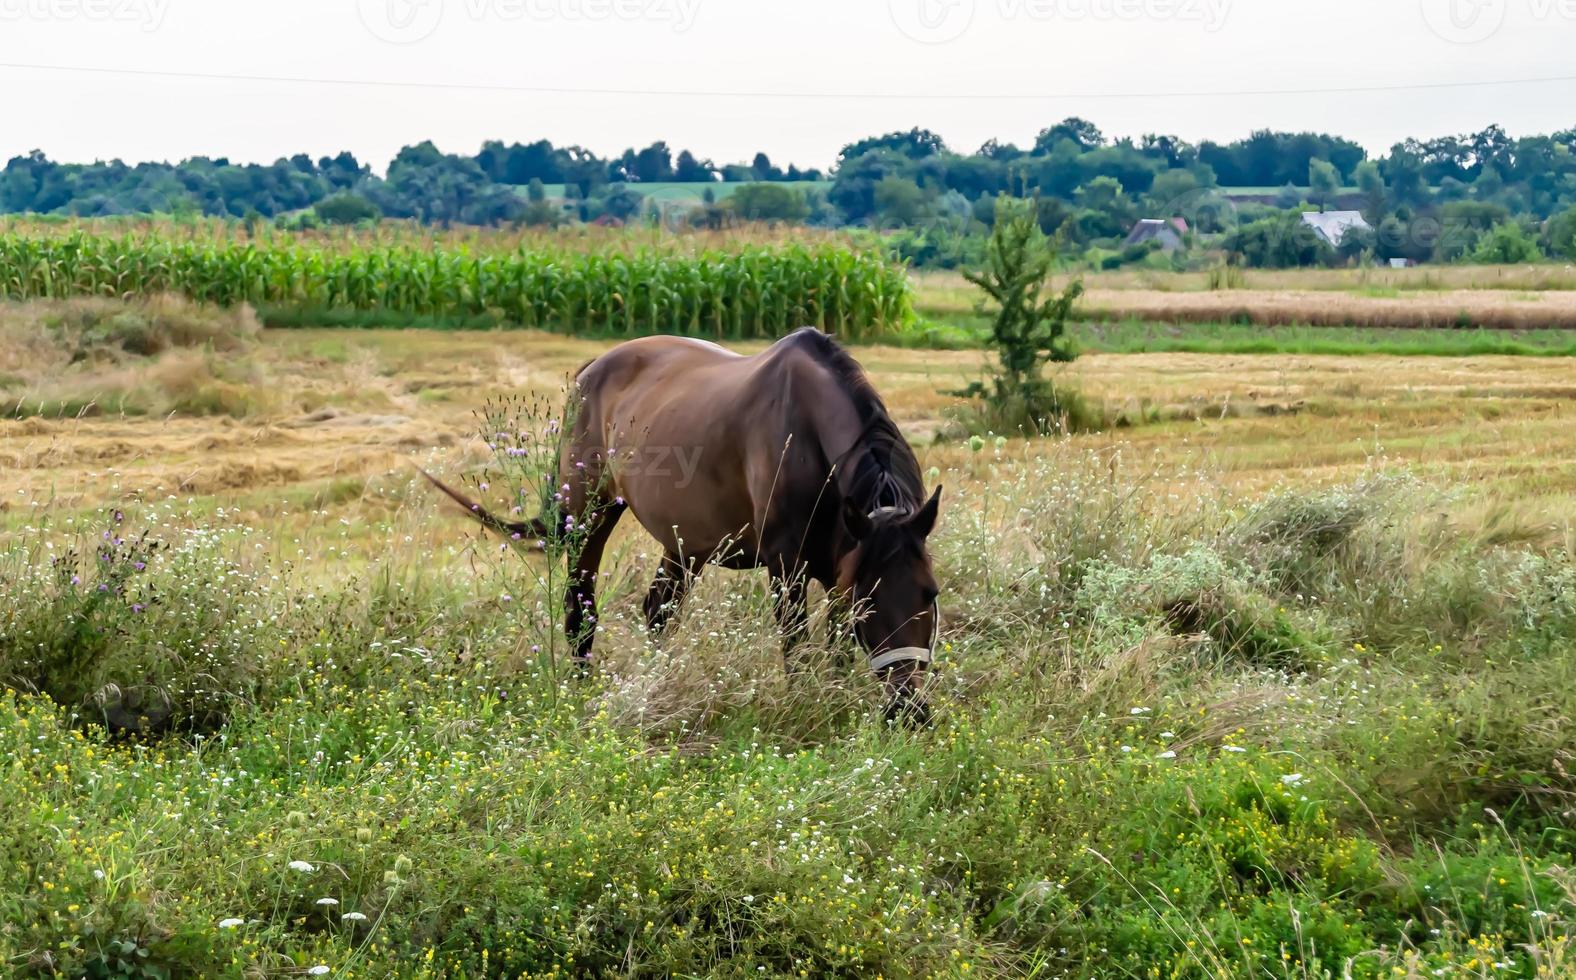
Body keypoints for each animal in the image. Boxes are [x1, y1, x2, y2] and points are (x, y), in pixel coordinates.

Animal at [425, 327, 939, 721]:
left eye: (930, 594)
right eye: (870, 601)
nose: (909, 713)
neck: (806, 436)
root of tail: (592, 368)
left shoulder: (839, 566)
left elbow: (836, 648)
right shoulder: (786, 568)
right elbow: (796, 647)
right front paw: (804, 706)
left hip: (684, 544)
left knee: (658, 611)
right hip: (590, 515)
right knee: (581, 607)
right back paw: (582, 689)